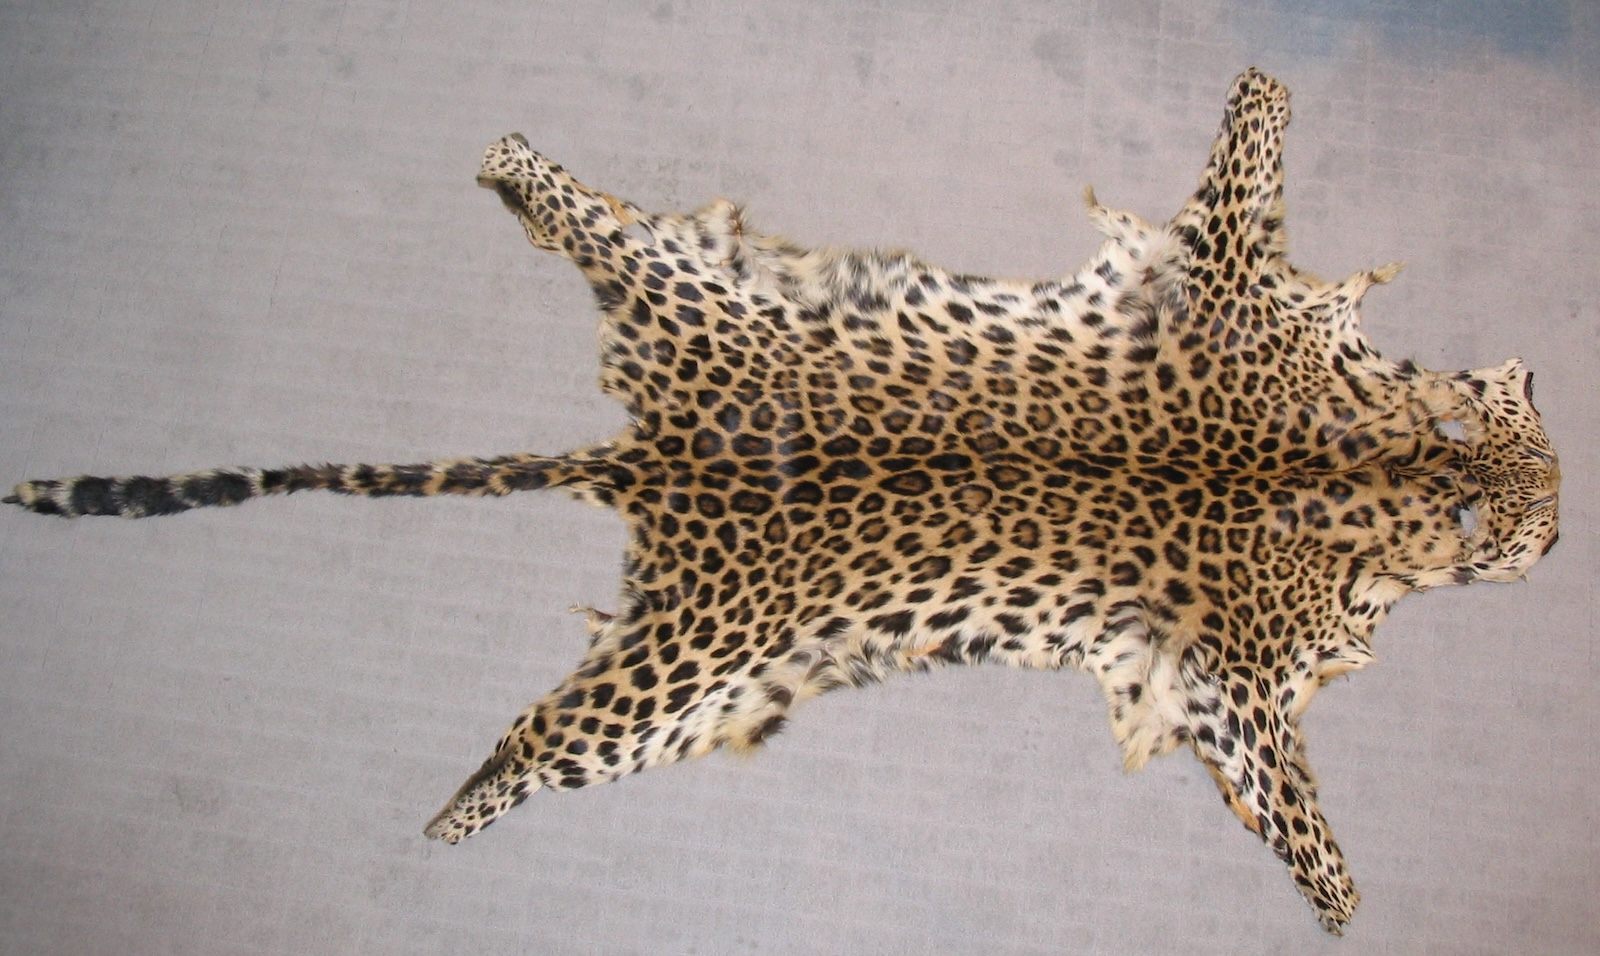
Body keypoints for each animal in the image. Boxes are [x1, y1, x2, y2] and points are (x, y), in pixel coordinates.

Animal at [5, 69, 1560, 934]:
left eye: (1532, 412)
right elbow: (1293, 806)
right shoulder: (1237, 649)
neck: (1379, 462)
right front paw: (1343, 897)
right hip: (652, 669)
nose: (1558, 502)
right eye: (1530, 544)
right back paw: (451, 817)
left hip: (674, 396)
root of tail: (655, 453)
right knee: (532, 750)